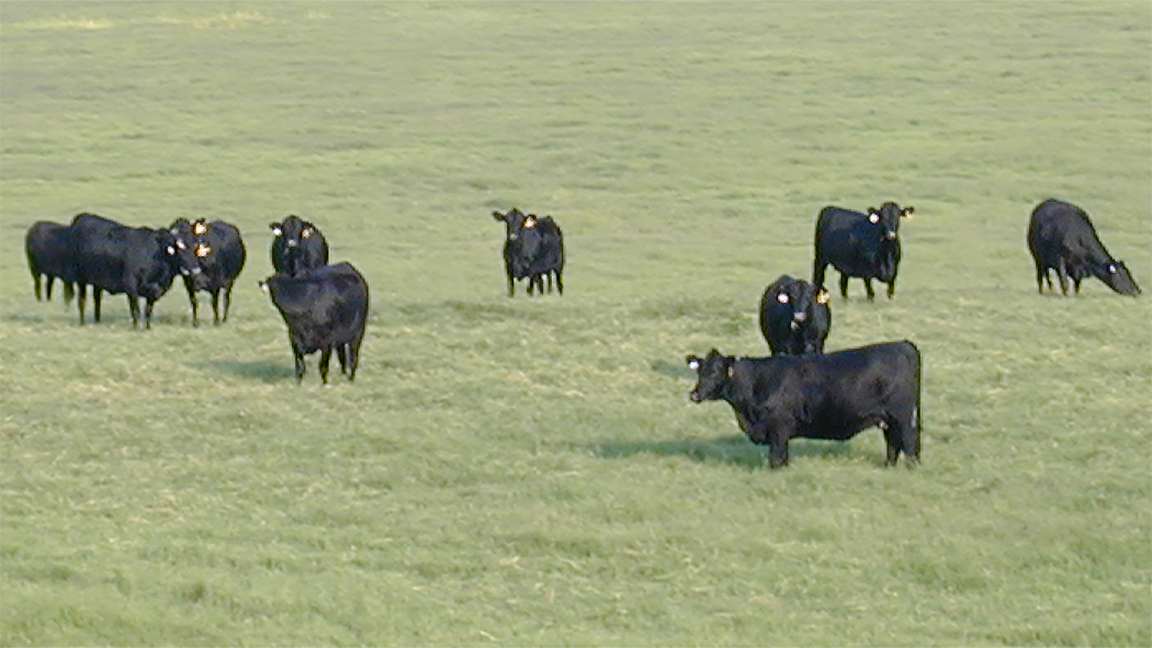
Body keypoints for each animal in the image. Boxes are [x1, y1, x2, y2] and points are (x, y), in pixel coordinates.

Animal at [69, 213, 198, 327]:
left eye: (194, 248)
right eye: (179, 249)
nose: (195, 269)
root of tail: (82, 217)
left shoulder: (153, 291)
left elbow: (148, 311)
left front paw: (147, 328)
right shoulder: (131, 286)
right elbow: (136, 311)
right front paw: (135, 328)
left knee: (97, 300)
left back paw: (97, 322)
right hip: (81, 279)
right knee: (82, 300)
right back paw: (82, 323)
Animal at [686, 341, 921, 465]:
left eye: (716, 372)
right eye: (700, 371)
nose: (694, 395)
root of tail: (903, 344)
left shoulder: (779, 428)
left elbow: (777, 458)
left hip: (904, 417)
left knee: (909, 444)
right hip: (889, 420)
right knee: (893, 445)